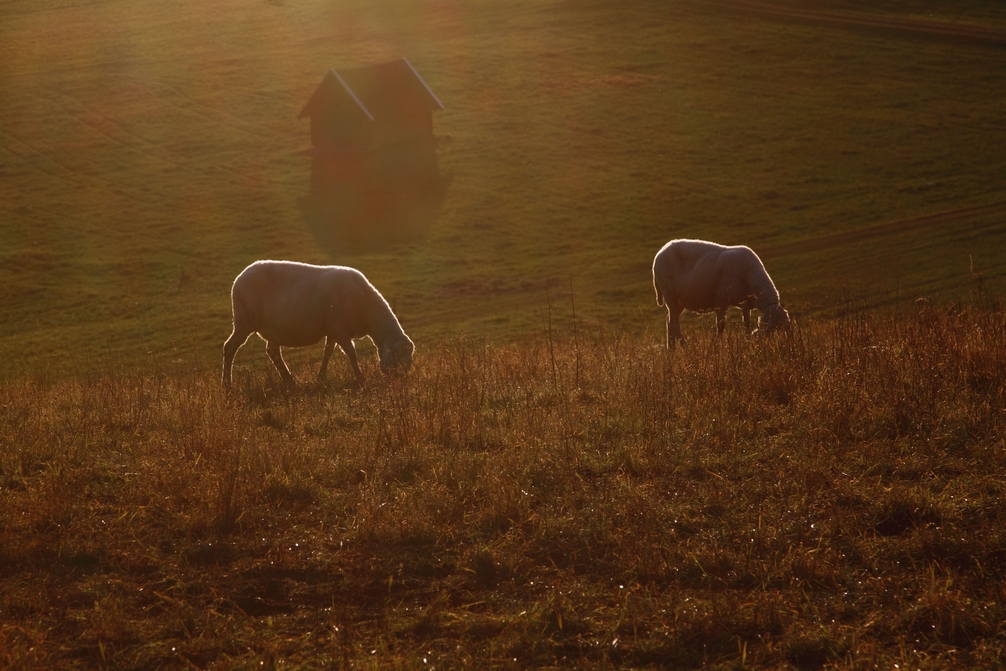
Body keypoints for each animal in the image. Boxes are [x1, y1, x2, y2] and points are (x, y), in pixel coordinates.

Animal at [222, 259, 414, 386]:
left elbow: (327, 352)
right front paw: (360, 379)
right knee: (229, 348)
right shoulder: (339, 329)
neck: (368, 311)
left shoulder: (332, 329)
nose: (399, 385)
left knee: (273, 352)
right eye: (399, 358)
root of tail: (239, 278)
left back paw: (290, 381)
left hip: (273, 327)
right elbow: (352, 354)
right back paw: (227, 385)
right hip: (244, 321)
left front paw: (321, 377)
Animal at [651, 238, 792, 350]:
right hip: (670, 295)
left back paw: (671, 350)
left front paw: (748, 342)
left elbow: (746, 325)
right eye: (770, 332)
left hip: (679, 301)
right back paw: (686, 347)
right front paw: (717, 346)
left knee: (669, 322)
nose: (775, 347)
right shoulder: (721, 300)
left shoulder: (745, 304)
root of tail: (659, 254)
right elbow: (721, 325)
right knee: (674, 324)